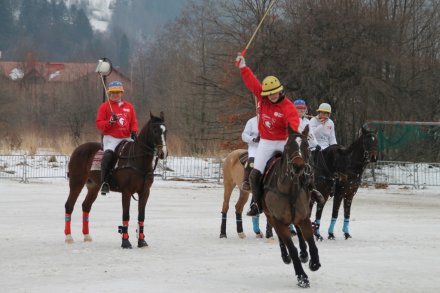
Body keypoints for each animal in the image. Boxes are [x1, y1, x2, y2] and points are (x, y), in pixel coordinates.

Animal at [64, 110, 168, 248]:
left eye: (165, 131)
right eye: (155, 130)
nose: (163, 153)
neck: (138, 160)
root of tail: (77, 149)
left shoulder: (145, 192)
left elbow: (141, 216)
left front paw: (141, 241)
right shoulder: (126, 192)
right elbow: (126, 215)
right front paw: (125, 242)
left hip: (94, 186)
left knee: (86, 206)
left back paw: (87, 236)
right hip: (76, 182)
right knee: (69, 205)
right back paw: (68, 237)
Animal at [262, 124, 322, 286]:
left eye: (306, 146)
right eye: (288, 146)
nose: (298, 167)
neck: (291, 189)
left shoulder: (304, 217)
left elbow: (311, 242)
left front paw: (314, 263)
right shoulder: (278, 220)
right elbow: (291, 247)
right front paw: (302, 277)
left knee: (299, 233)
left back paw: (304, 254)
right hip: (270, 216)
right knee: (280, 237)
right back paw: (286, 256)